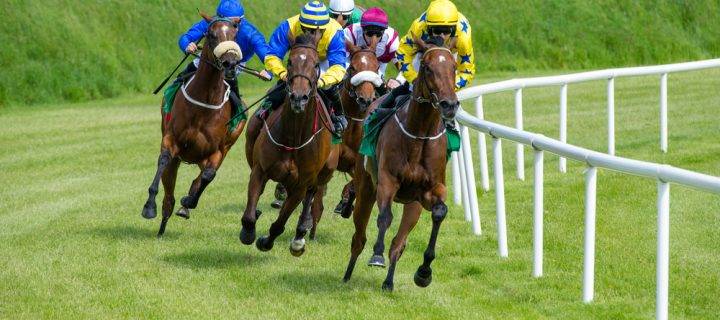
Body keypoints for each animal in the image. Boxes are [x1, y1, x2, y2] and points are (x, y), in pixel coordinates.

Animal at [141, 14, 248, 238]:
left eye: (235, 35)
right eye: (212, 34)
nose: (230, 63)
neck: (204, 101)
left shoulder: (216, 151)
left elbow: (208, 175)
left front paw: (189, 201)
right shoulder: (171, 139)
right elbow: (163, 160)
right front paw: (149, 207)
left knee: (201, 178)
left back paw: (185, 204)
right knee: (169, 196)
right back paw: (163, 224)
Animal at [236, 33, 338, 256]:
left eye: (316, 64)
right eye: (290, 61)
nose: (298, 97)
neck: (293, 138)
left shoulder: (300, 185)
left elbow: (280, 223)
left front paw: (266, 241)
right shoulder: (260, 170)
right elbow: (249, 213)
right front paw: (248, 231)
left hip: (324, 171)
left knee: (311, 195)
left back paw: (300, 234)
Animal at [342, 36, 456, 292]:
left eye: (454, 66)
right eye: (427, 67)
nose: (449, 104)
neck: (420, 135)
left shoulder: (429, 191)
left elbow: (439, 212)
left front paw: (424, 272)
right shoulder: (387, 181)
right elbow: (385, 217)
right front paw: (376, 255)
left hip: (412, 205)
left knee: (398, 243)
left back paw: (388, 282)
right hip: (366, 188)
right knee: (358, 237)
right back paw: (347, 274)